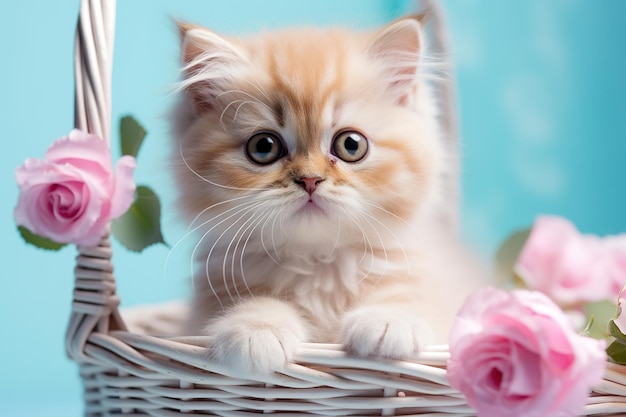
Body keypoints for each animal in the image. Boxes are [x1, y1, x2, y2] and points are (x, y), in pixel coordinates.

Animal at [172, 15, 488, 374]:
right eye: (263, 147)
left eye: (351, 145)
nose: (310, 180)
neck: (318, 264)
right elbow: (253, 302)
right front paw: (256, 328)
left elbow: (408, 296)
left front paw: (388, 320)